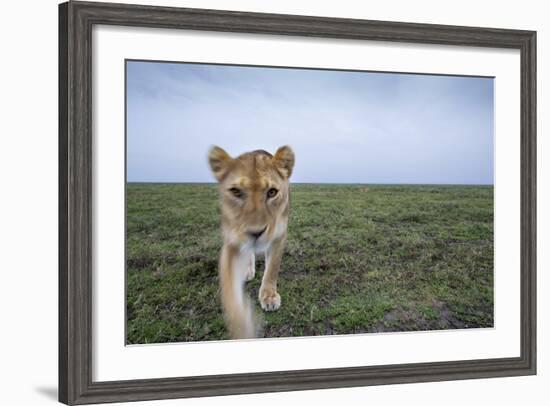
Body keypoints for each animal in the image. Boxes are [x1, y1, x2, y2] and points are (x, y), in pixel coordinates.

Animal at [209, 146, 296, 340]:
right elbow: (228, 288)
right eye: (236, 192)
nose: (255, 232)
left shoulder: (279, 236)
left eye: (272, 192)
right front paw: (243, 326)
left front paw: (269, 297)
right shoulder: (231, 242)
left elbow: (272, 270)